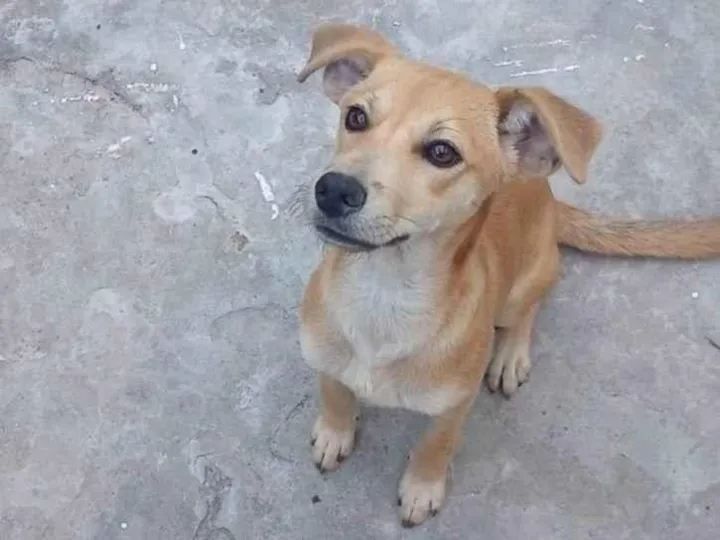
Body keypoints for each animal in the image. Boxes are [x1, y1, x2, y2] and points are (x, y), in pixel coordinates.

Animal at [294, 23, 720, 527]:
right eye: (356, 117)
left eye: (442, 152)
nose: (332, 190)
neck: (382, 296)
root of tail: (551, 200)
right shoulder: (323, 355)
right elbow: (334, 392)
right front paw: (335, 431)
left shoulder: (456, 404)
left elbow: (436, 445)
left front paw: (422, 487)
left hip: (529, 281)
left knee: (529, 309)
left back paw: (510, 355)